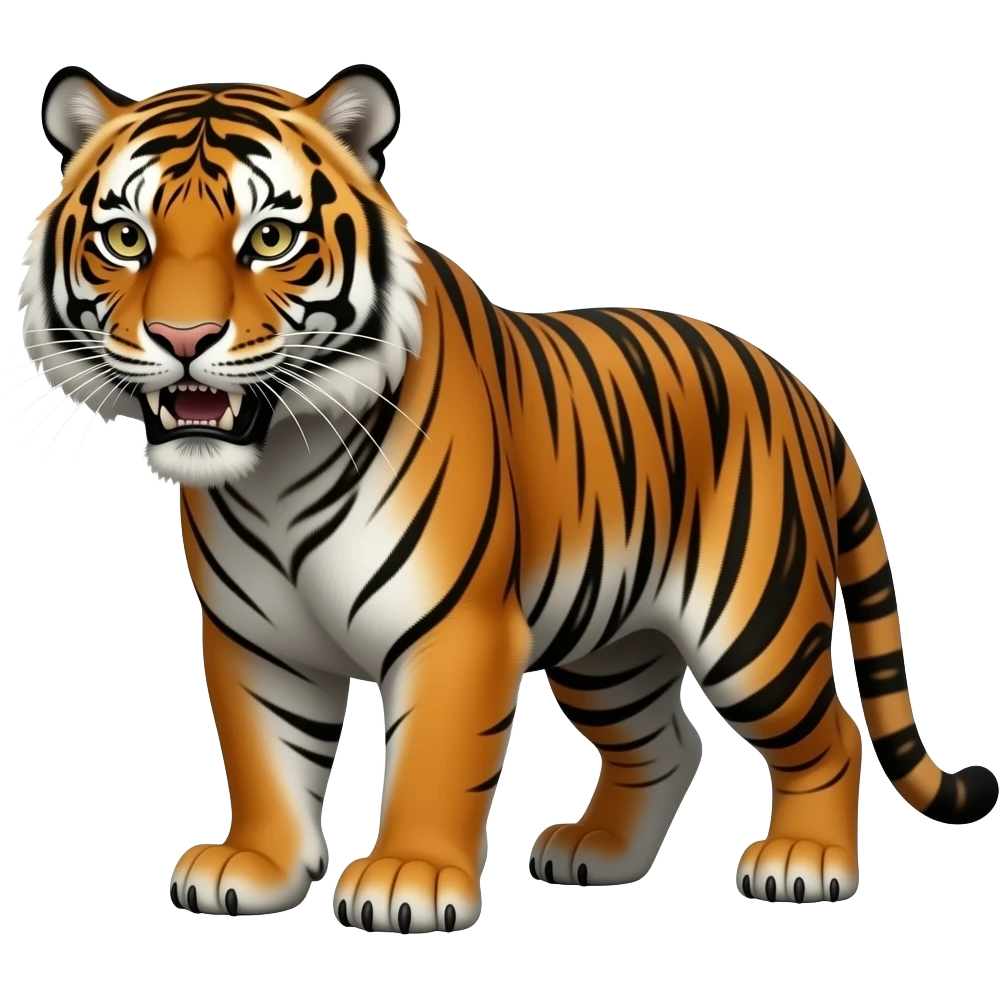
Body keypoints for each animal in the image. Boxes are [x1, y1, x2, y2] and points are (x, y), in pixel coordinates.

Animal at [17, 63, 997, 931]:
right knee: (668, 742)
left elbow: (435, 758)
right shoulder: (257, 635)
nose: (183, 336)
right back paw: (599, 854)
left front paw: (407, 881)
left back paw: (806, 863)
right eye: (126, 238)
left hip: (754, 629)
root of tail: (800, 390)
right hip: (612, 648)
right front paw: (254, 868)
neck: (278, 467)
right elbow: (266, 754)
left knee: (830, 732)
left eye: (268, 239)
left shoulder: (457, 626)